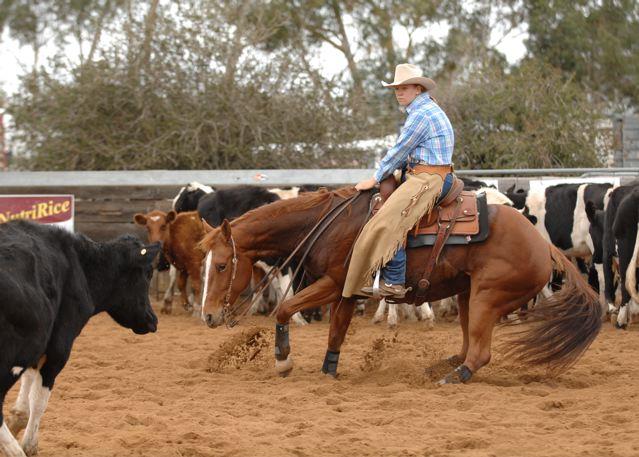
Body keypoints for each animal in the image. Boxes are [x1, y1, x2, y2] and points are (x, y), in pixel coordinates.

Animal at [0, 220, 159, 457]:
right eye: (148, 273)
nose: (153, 320)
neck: (80, 267)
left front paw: (17, 420)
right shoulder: (58, 351)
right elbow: (38, 401)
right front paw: (29, 445)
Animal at [199, 187, 602, 384]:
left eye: (221, 265)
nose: (208, 316)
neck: (331, 224)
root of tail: (542, 244)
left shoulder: (334, 282)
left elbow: (284, 308)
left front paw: (283, 361)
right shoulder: (347, 291)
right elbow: (337, 331)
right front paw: (329, 371)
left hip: (487, 297)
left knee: (480, 352)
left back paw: (454, 377)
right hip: (468, 293)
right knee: (468, 342)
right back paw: (439, 368)